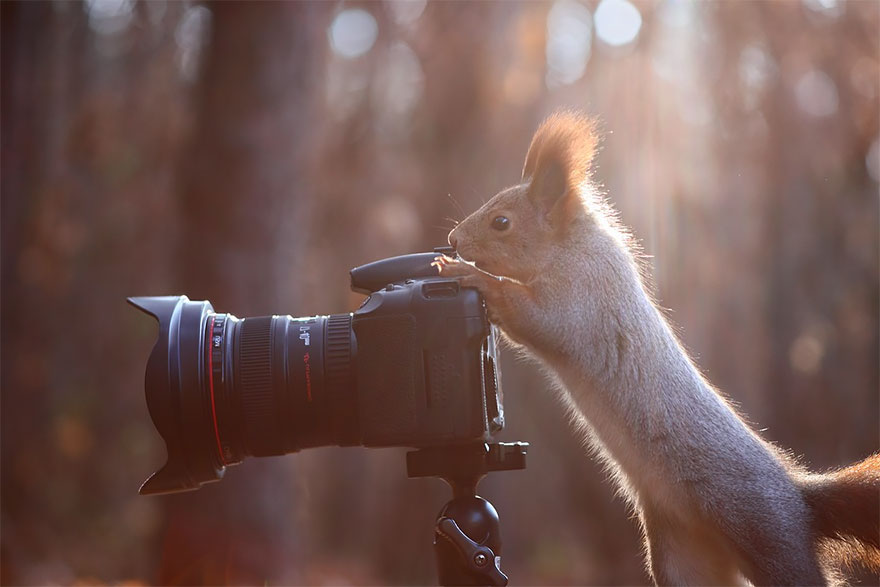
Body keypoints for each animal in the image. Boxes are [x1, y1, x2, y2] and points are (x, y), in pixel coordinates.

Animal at [433, 111, 880, 585]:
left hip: (768, 537)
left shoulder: (581, 301)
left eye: (501, 222)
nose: (454, 239)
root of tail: (799, 500)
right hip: (683, 558)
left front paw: (468, 274)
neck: (571, 248)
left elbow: (532, 314)